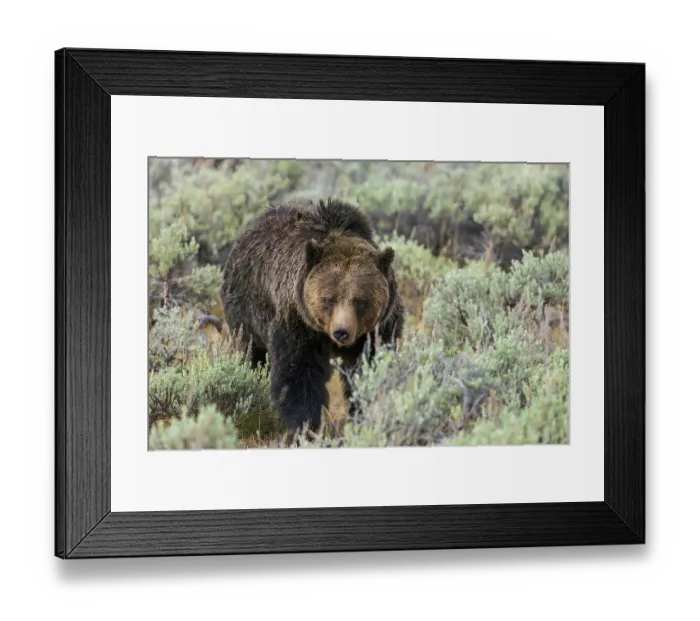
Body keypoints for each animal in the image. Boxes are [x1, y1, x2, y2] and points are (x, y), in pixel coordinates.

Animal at [219, 197, 404, 436]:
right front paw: (305, 426)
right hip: (246, 311)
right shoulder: (299, 323)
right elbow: (298, 375)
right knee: (252, 354)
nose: (342, 332)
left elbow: (369, 368)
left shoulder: (378, 330)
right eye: (329, 299)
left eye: (360, 300)